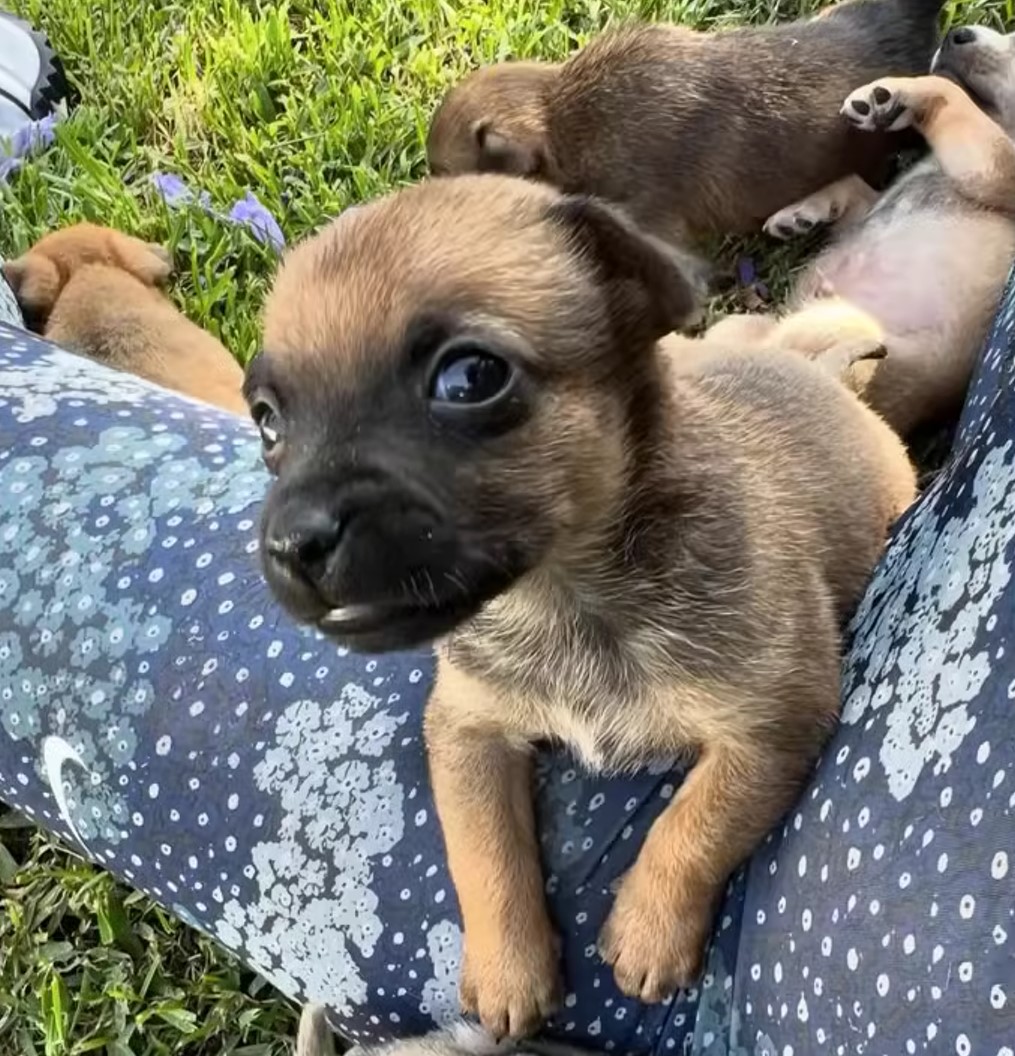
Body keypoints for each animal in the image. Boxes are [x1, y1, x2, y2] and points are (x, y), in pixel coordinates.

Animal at [249, 177, 916, 1034]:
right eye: (267, 420)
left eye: (470, 379)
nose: (290, 542)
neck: (563, 596)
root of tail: (824, 379)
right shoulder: (467, 730)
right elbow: (483, 848)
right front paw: (506, 970)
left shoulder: (771, 726)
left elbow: (695, 823)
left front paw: (647, 931)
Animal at [752, 25, 1015, 437]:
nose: (958, 33)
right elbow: (853, 186)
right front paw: (801, 212)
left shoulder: (995, 165)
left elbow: (949, 92)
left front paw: (897, 90)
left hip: (835, 323)